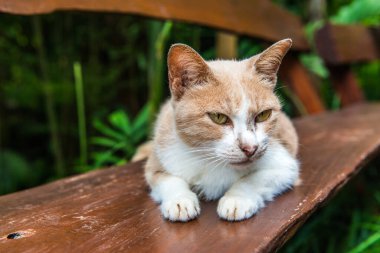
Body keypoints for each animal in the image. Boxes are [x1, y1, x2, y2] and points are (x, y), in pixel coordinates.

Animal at [143, 38, 300, 222]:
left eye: (263, 115)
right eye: (218, 117)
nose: (250, 148)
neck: (210, 160)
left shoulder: (286, 166)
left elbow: (255, 179)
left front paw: (237, 199)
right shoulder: (158, 158)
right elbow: (168, 179)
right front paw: (180, 200)